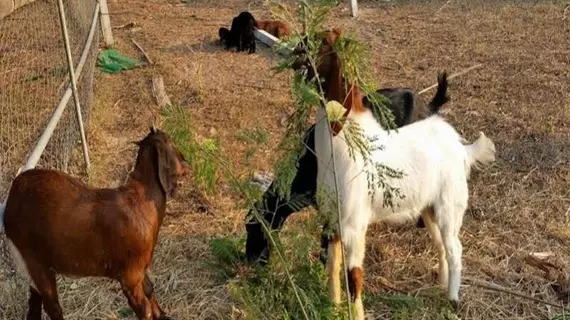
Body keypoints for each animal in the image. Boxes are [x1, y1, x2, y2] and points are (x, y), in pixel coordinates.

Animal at [2, 126, 189, 318]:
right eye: (170, 142)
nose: (186, 163)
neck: (141, 202)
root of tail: (12, 197)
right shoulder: (130, 275)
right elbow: (144, 308)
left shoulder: (140, 268)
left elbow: (150, 288)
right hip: (34, 260)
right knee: (52, 305)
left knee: (35, 299)